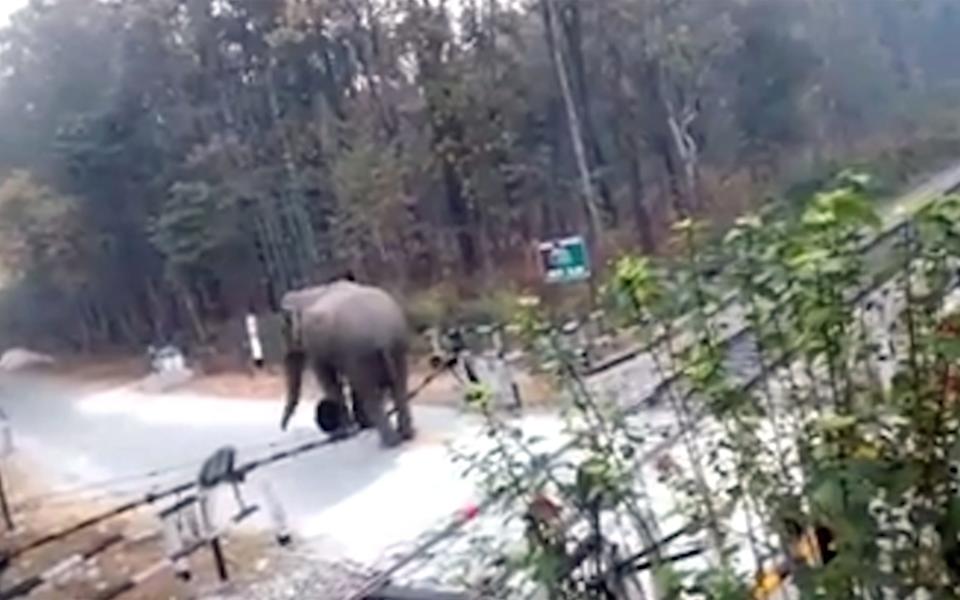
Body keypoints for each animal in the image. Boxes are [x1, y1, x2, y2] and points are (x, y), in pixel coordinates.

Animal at [278, 280, 412, 446]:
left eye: (283, 332)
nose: (283, 428)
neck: (305, 293)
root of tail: (382, 335)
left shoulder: (316, 345)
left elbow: (326, 378)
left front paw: (343, 433)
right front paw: (358, 427)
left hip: (362, 352)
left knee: (369, 393)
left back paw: (389, 442)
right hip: (397, 346)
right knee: (399, 386)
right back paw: (405, 434)